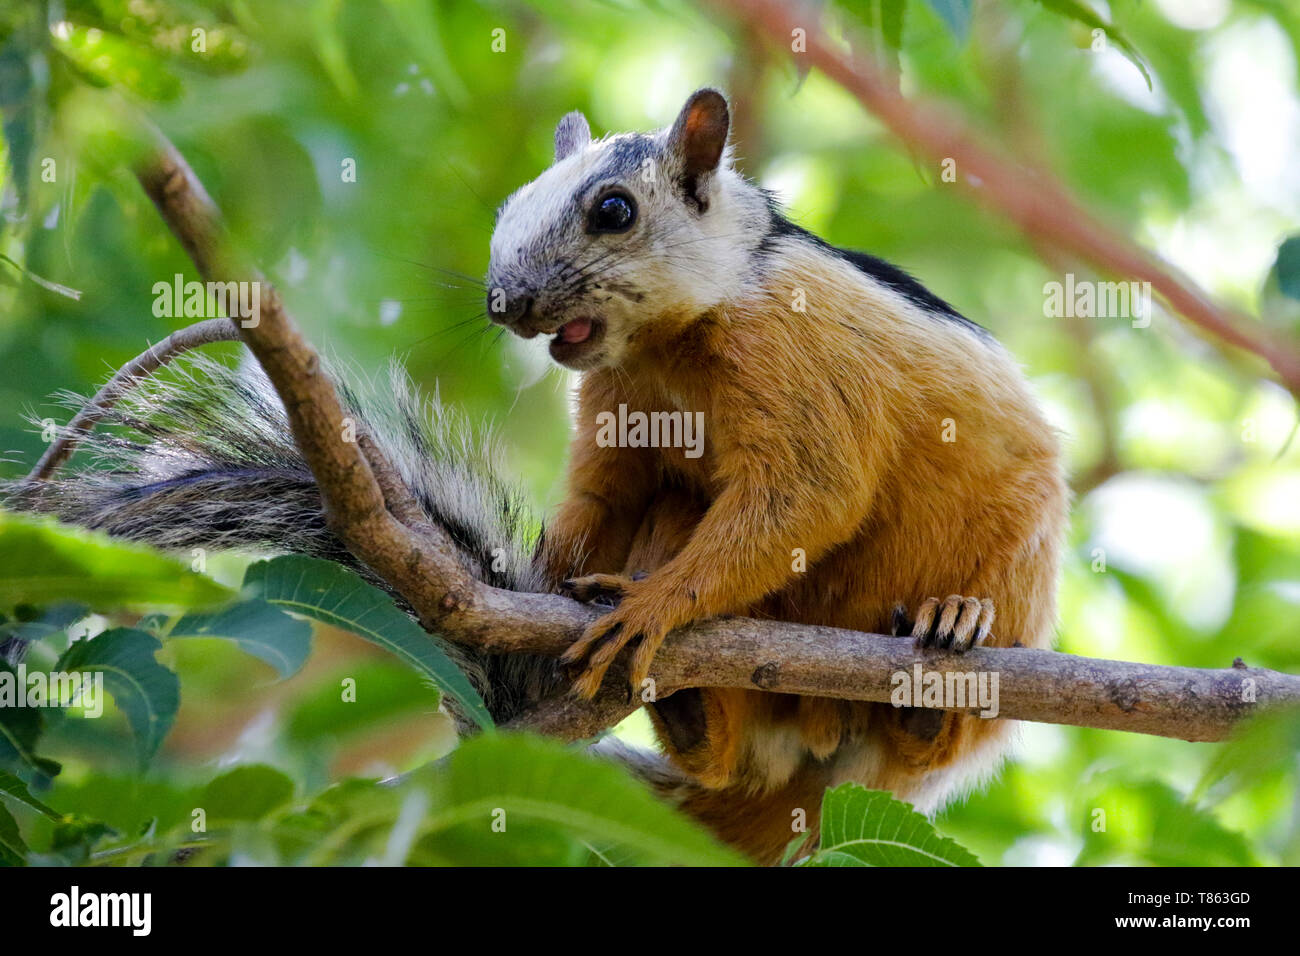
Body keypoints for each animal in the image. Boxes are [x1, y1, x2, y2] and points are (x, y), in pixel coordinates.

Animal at [7, 89, 1066, 868]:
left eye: (613, 209)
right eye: (509, 208)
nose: (502, 301)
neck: (675, 345)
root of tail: (824, 776)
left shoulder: (804, 370)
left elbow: (808, 495)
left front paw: (654, 606)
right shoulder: (613, 423)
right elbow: (599, 504)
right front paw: (541, 600)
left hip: (1015, 572)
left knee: (941, 725)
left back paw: (950, 635)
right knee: (722, 748)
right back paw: (689, 714)